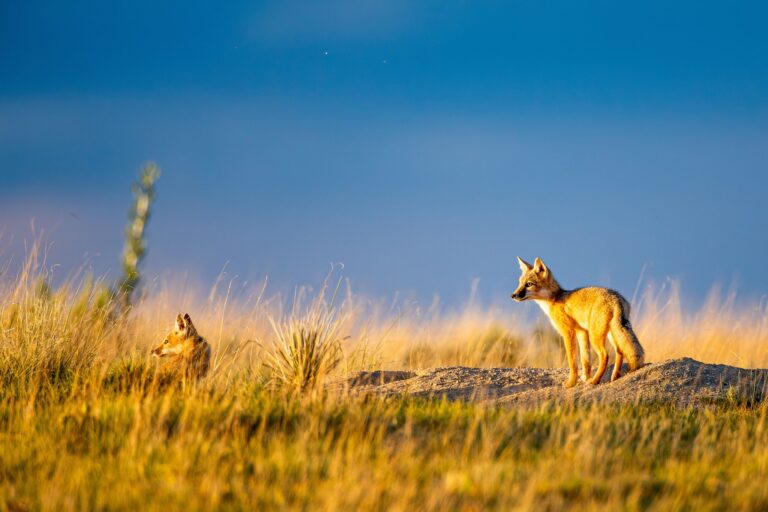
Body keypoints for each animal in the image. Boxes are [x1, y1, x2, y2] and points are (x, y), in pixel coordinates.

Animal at [511, 257, 645, 388]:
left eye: (529, 284)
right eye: (520, 283)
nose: (513, 295)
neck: (554, 300)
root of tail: (616, 298)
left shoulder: (568, 332)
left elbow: (572, 362)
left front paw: (571, 383)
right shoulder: (581, 332)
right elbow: (585, 361)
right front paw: (585, 378)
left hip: (596, 337)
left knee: (605, 355)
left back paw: (595, 381)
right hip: (609, 334)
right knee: (620, 351)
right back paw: (614, 376)